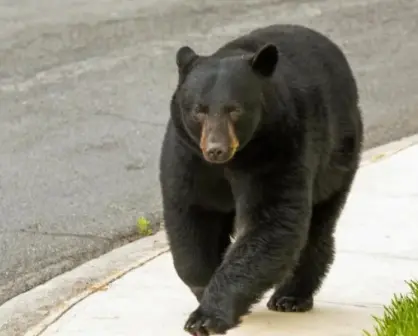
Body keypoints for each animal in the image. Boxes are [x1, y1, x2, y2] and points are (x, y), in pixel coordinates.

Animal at [159, 24, 362, 336]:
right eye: (199, 110)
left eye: (234, 109)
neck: (233, 161)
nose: (216, 149)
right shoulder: (188, 155)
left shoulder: (279, 147)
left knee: (318, 224)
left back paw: (291, 296)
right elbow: (193, 216)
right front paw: (203, 287)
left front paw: (207, 316)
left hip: (338, 156)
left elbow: (272, 223)